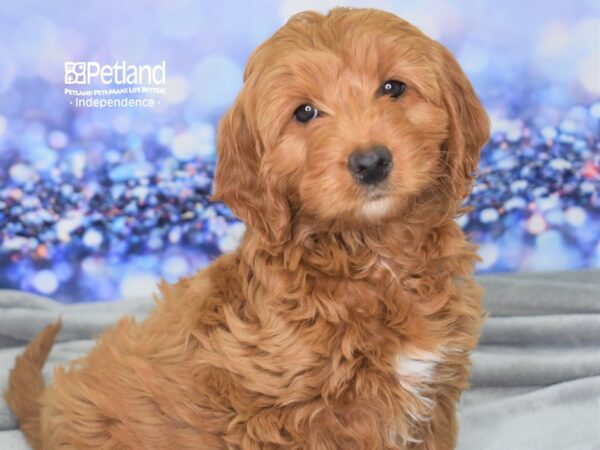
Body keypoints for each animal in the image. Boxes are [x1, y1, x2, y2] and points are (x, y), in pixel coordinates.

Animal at [5, 7, 488, 450]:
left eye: (393, 88)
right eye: (305, 113)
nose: (370, 162)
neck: (374, 254)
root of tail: (49, 412)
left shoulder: (435, 396)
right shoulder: (296, 417)